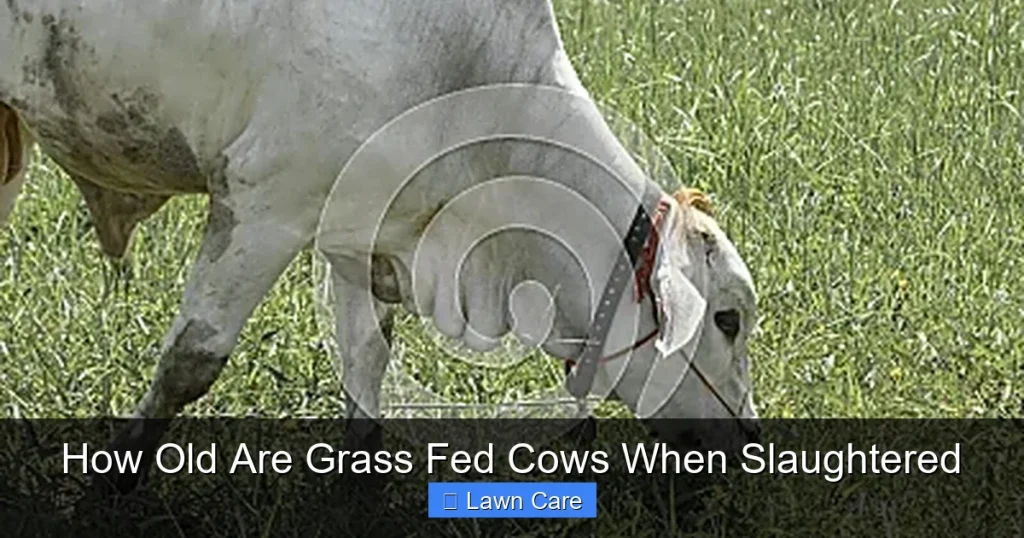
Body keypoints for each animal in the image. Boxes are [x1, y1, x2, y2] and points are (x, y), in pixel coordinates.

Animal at [1, 0, 761, 493]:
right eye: (727, 320)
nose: (750, 443)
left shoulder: (360, 231)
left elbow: (365, 360)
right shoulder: (263, 205)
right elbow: (192, 361)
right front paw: (113, 484)